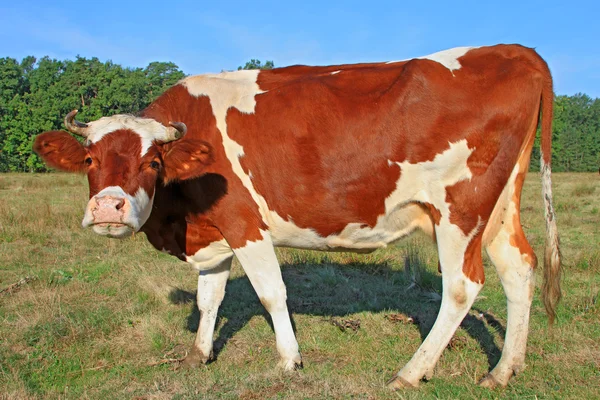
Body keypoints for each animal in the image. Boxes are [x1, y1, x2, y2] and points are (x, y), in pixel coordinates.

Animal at [34, 43, 564, 388]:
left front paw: (289, 362)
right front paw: (199, 355)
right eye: (89, 160)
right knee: (519, 268)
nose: (109, 208)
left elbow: (271, 294)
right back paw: (503, 370)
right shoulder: (213, 231)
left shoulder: (245, 224)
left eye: (152, 163)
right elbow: (209, 298)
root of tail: (516, 51)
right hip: (499, 207)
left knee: (461, 286)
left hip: (460, 209)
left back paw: (411, 372)